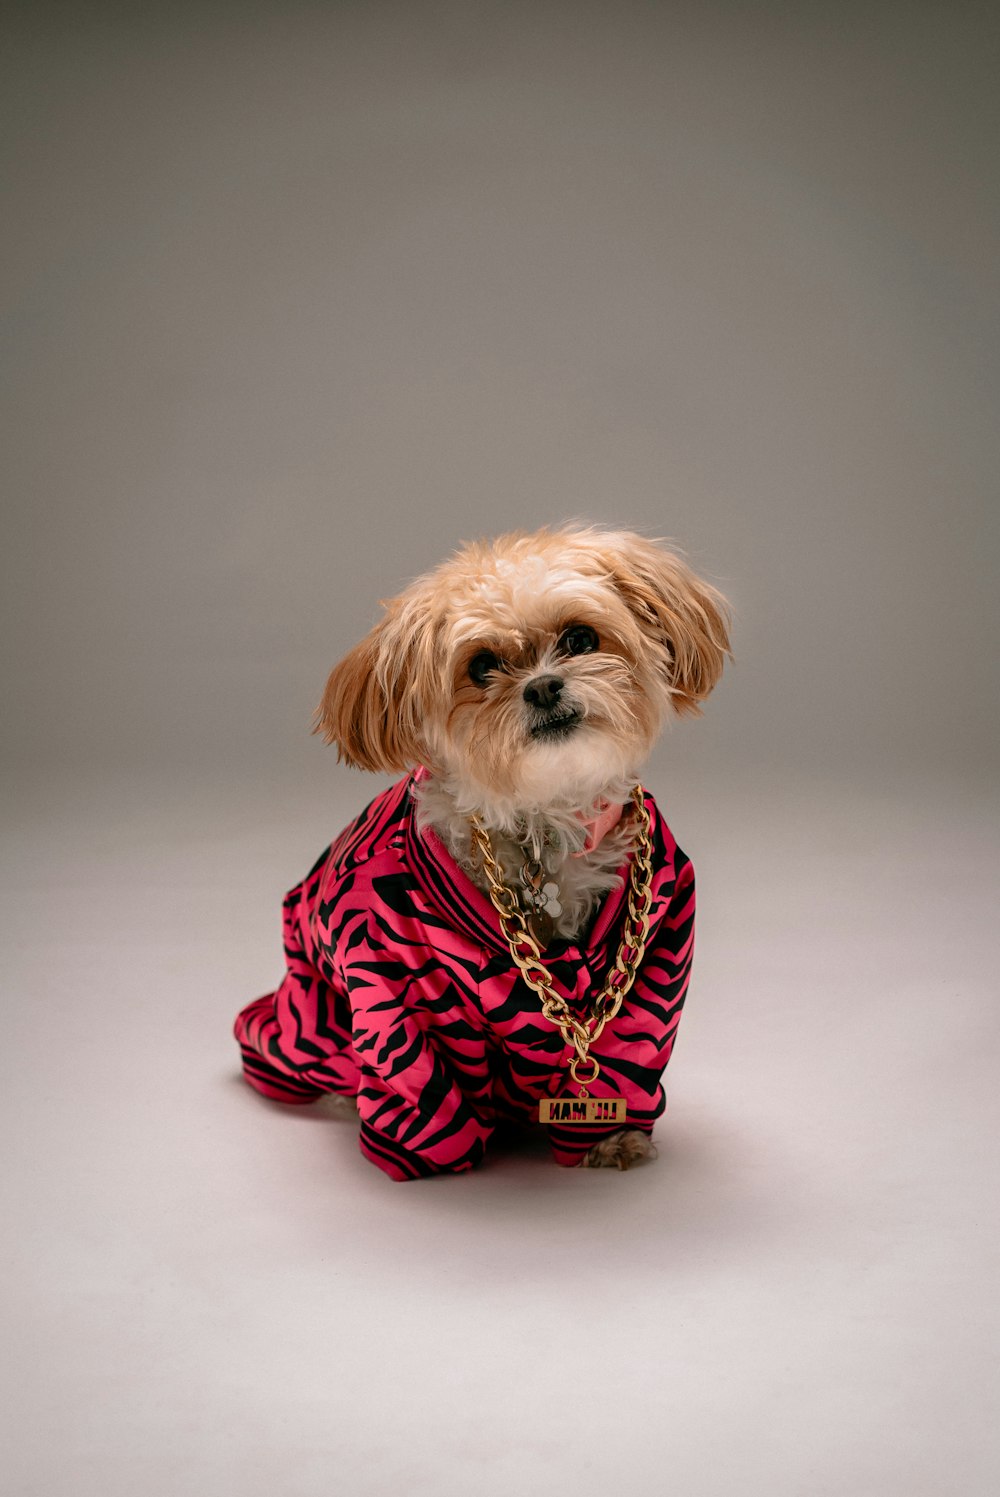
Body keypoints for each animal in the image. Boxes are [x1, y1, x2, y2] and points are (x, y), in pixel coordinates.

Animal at [236, 526, 733, 1179]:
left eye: (580, 638)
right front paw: (428, 1160)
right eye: (481, 667)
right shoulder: (392, 980)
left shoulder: (658, 947)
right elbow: (420, 1081)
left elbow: (624, 1056)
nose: (543, 686)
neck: (538, 825)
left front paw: (610, 1138)